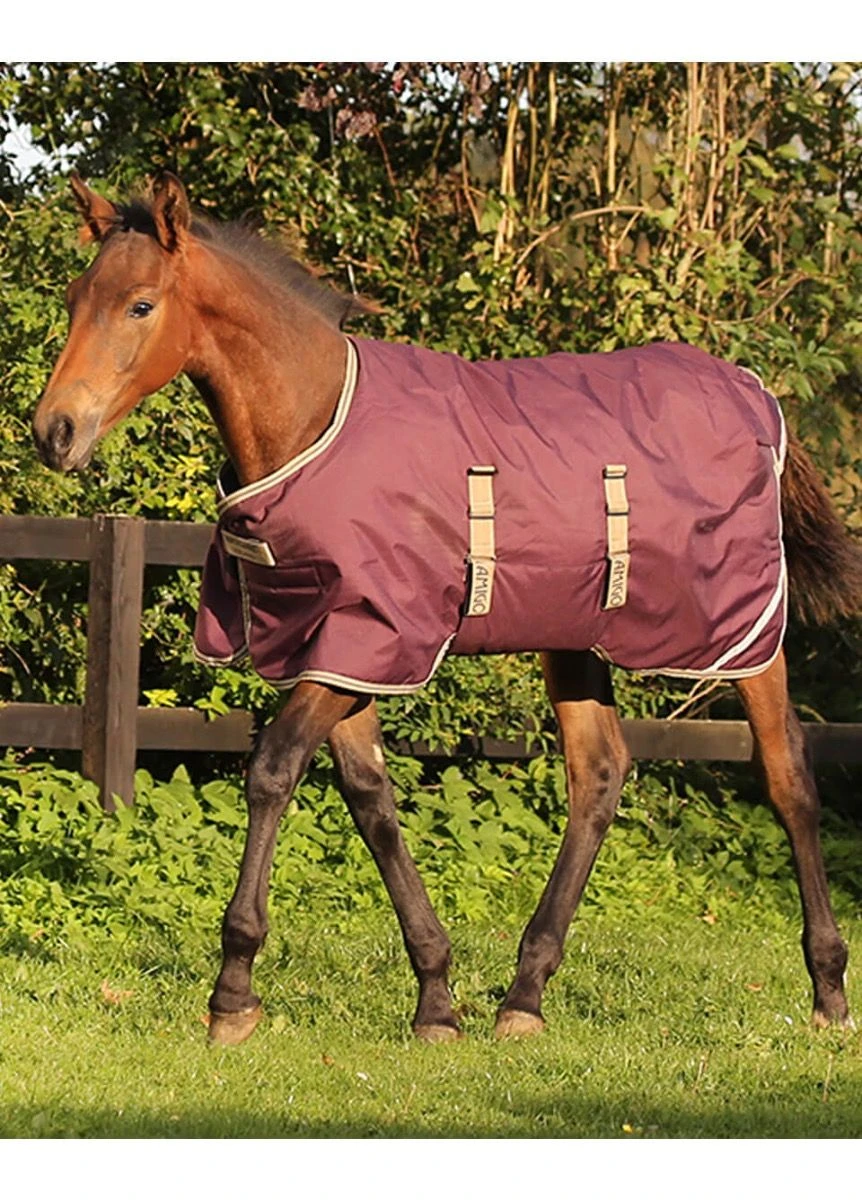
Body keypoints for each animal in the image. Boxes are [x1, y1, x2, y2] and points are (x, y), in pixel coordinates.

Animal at [32, 172, 859, 1047]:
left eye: (141, 305)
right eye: (75, 296)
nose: (54, 431)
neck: (315, 422)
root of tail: (753, 392)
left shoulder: (372, 641)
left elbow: (273, 769)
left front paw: (233, 993)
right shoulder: (338, 650)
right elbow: (370, 798)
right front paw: (436, 996)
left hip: (744, 633)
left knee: (788, 775)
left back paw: (828, 990)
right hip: (572, 637)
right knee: (599, 774)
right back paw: (524, 995)